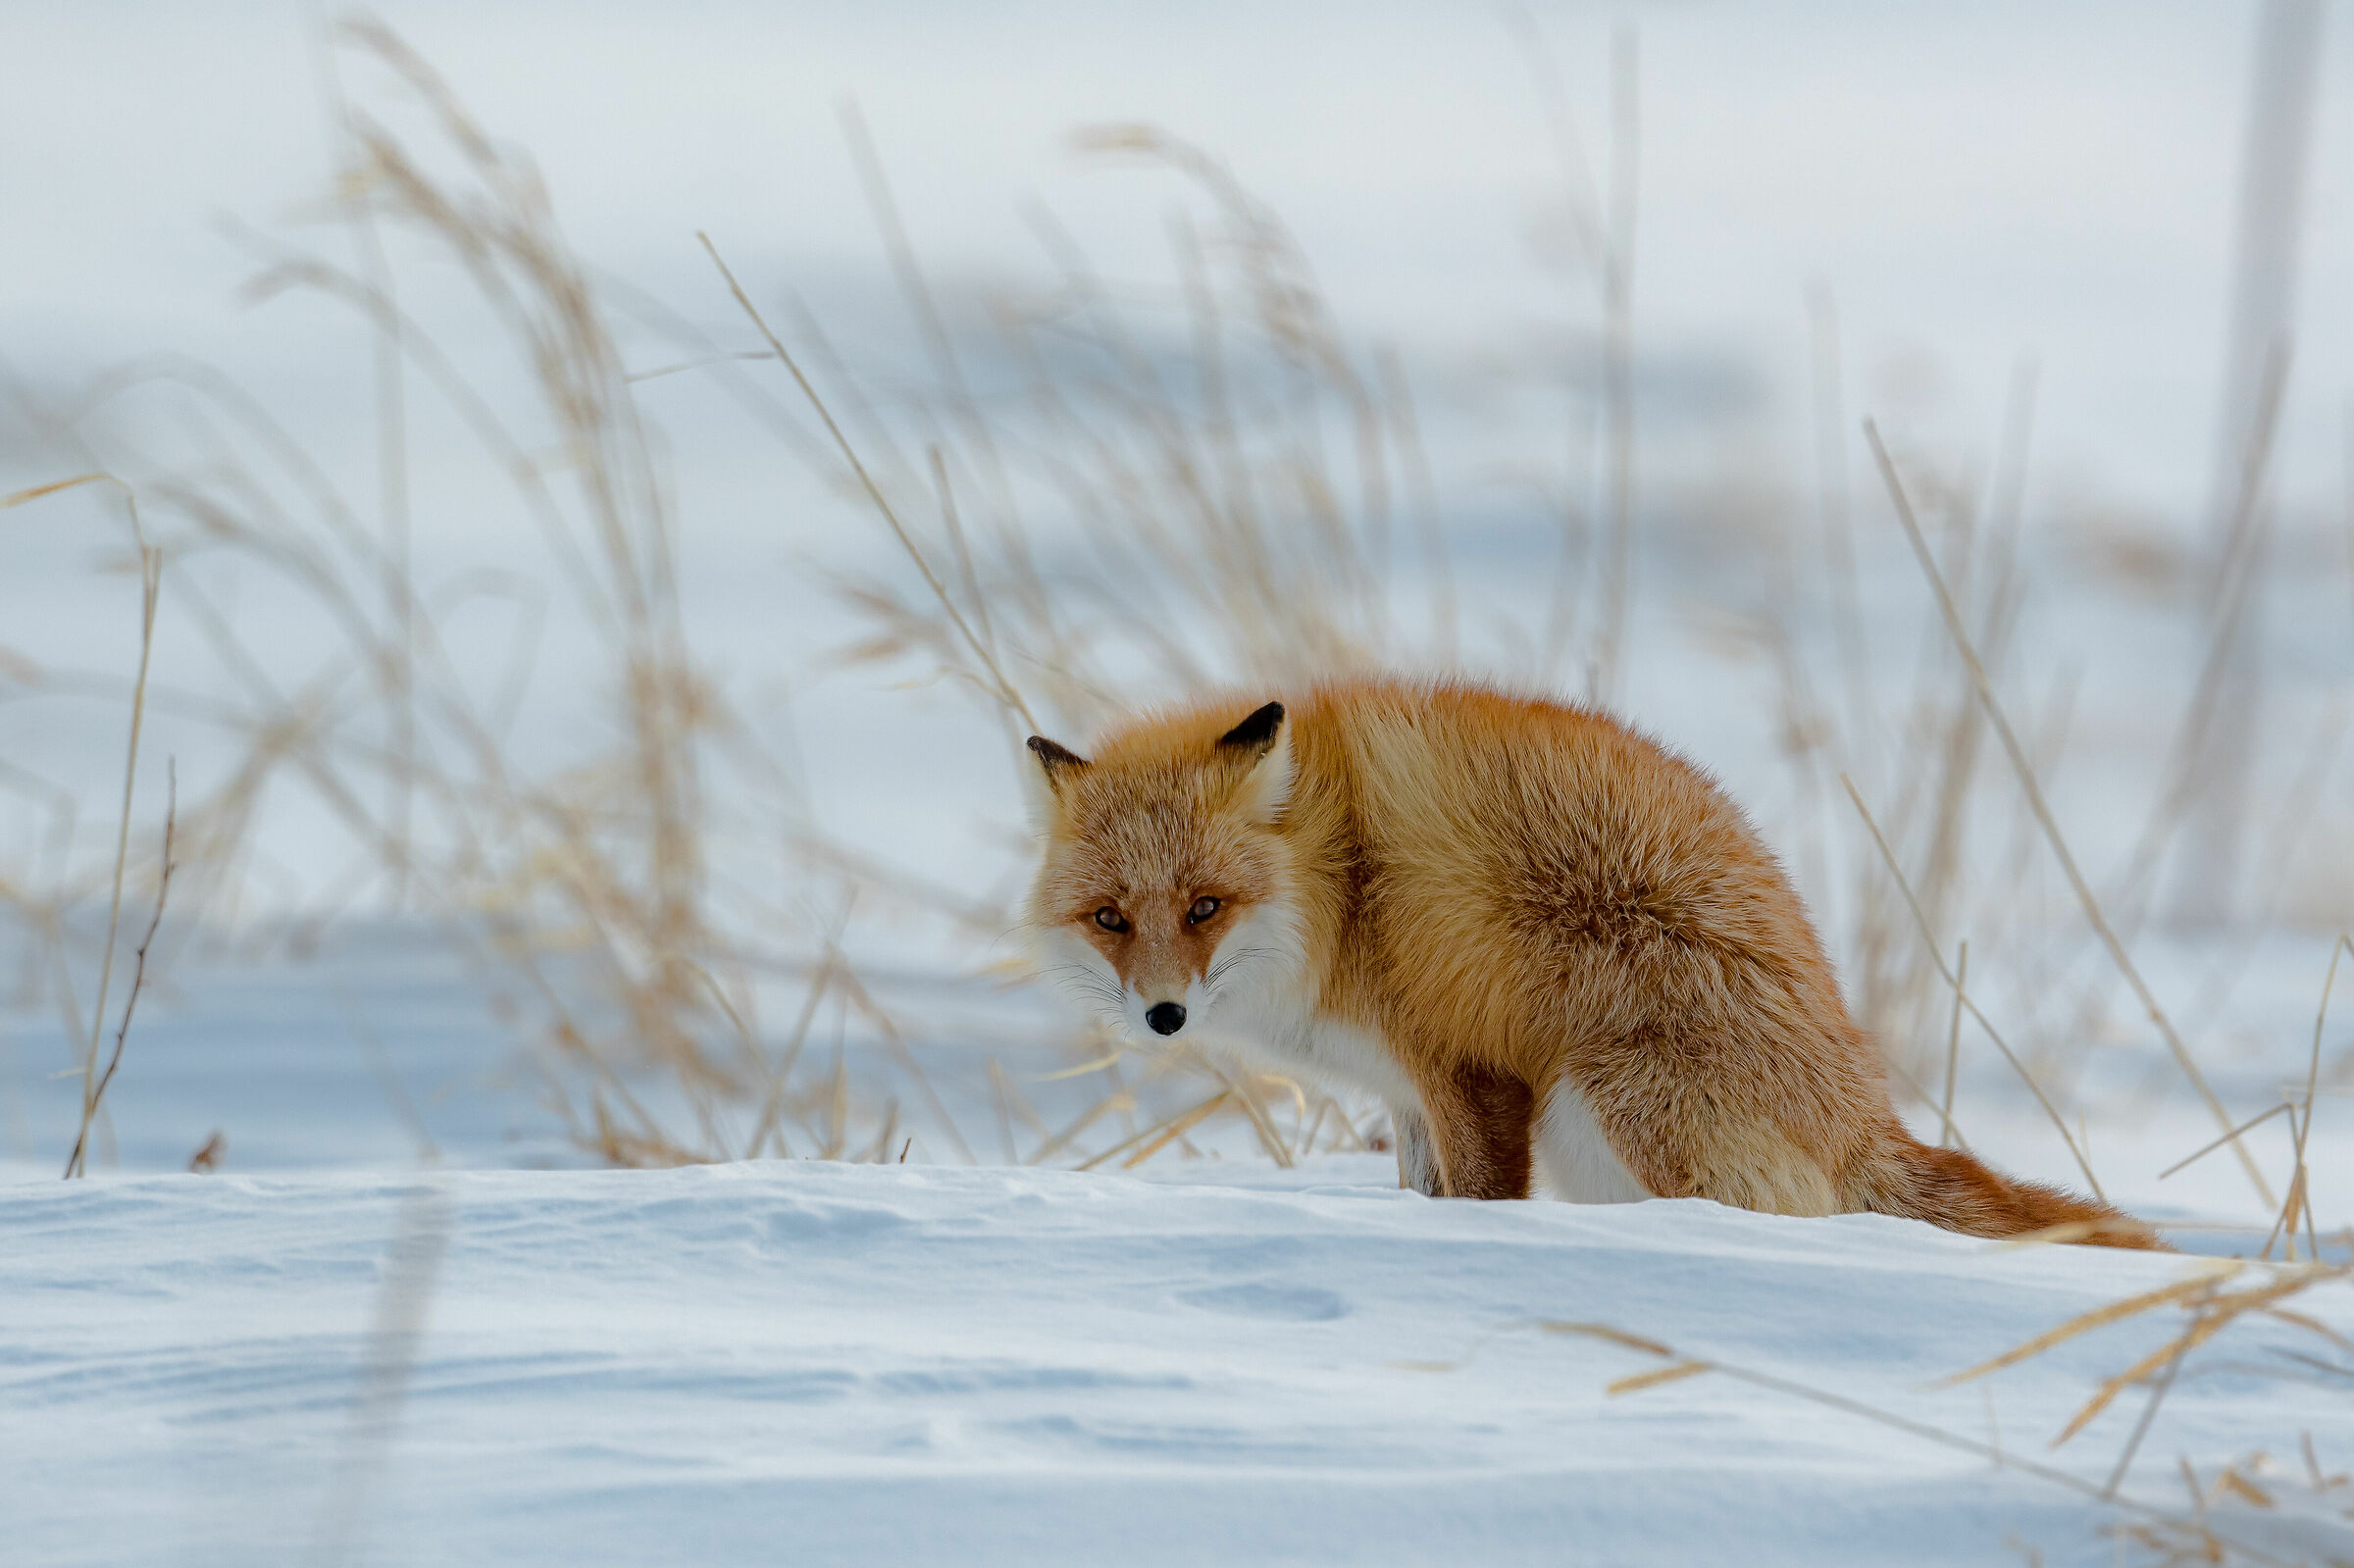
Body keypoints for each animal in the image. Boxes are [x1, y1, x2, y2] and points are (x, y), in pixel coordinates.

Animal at [1021, 677, 2162, 1249]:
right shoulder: (1404, 1094)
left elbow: (1479, 1204)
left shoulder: (1469, 1070)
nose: (1163, 1015)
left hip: (1612, 1093)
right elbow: (1420, 1193)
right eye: (1111, 917)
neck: (1342, 892)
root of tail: (1867, 1117)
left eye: (1205, 906)